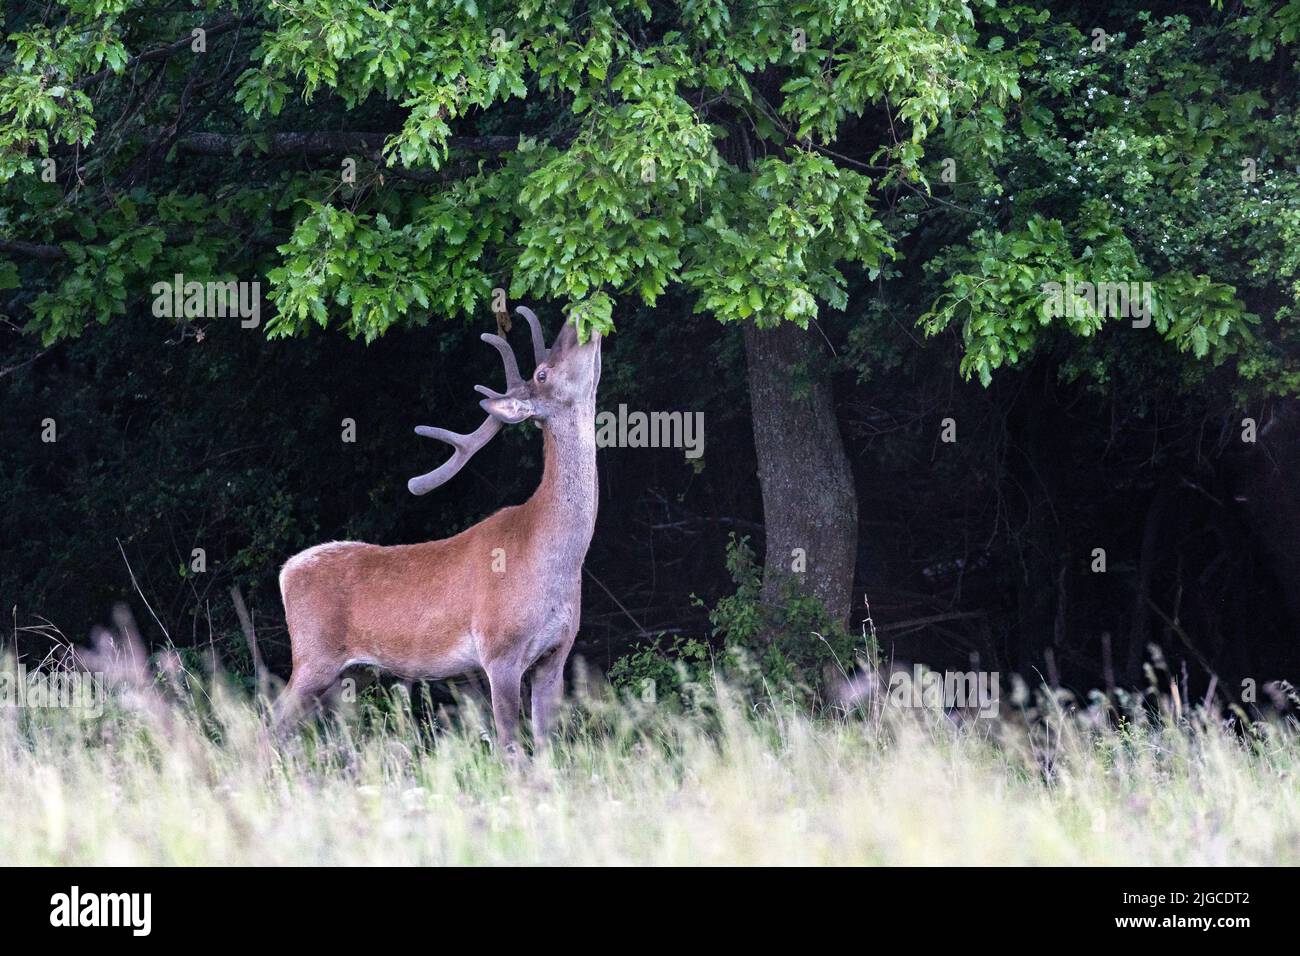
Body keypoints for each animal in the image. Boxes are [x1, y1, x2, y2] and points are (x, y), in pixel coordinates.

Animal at [275, 306, 602, 753]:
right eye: (542, 374)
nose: (579, 315)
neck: (551, 559)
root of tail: (286, 572)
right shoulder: (498, 649)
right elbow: (511, 748)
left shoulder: (555, 655)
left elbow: (546, 747)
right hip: (313, 655)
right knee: (270, 723)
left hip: (349, 673)